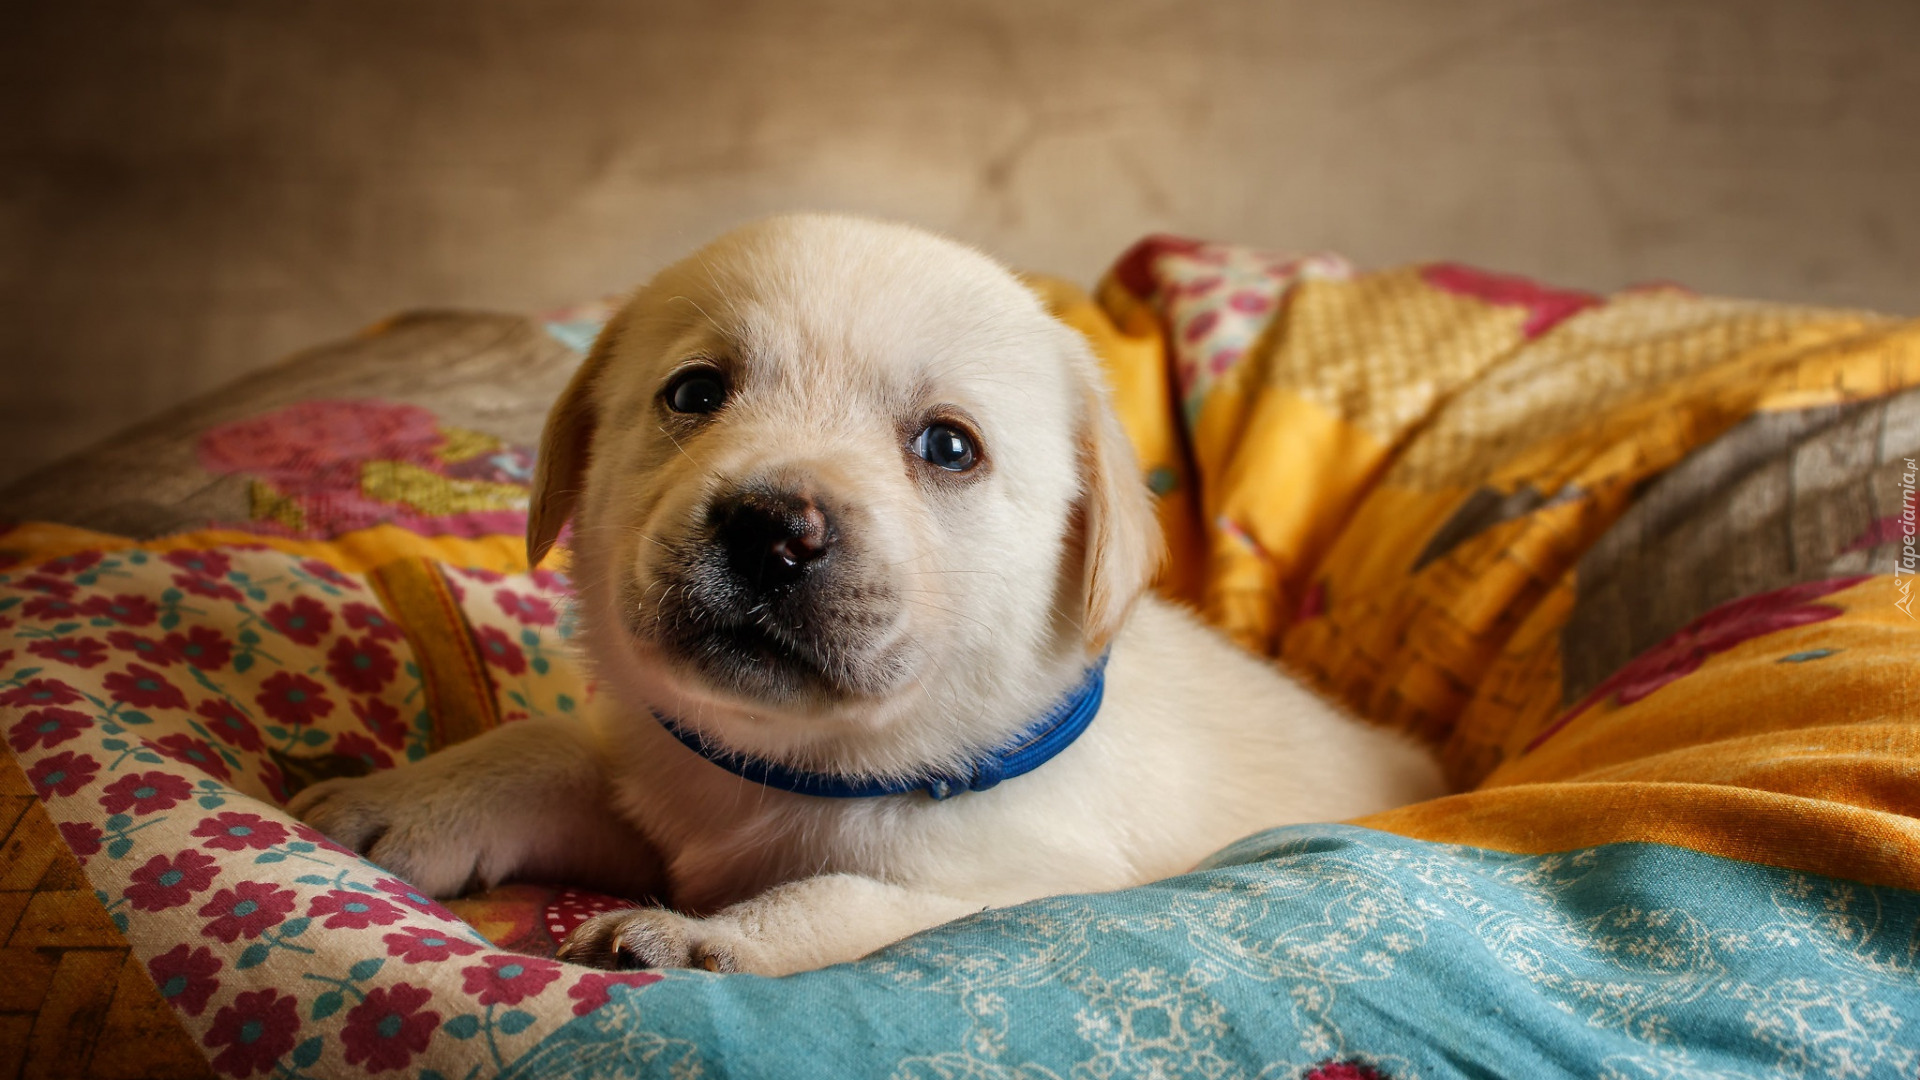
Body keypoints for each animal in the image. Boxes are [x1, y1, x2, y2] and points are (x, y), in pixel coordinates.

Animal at [291, 214, 1443, 972]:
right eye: (694, 393)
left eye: (948, 447)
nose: (772, 530)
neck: (803, 771)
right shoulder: (660, 793)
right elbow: (544, 746)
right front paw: (405, 798)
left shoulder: (1013, 883)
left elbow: (846, 899)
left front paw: (704, 938)